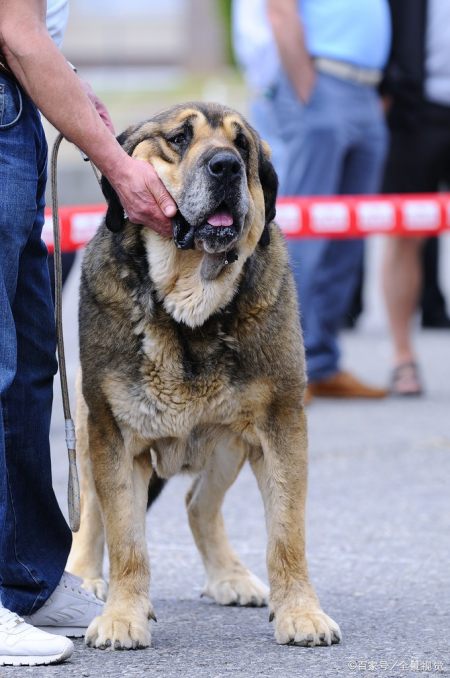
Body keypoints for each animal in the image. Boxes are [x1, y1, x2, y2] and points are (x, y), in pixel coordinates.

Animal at [67, 102, 342, 652]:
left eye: (242, 146)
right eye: (179, 138)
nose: (225, 167)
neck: (188, 303)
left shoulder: (280, 425)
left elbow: (287, 534)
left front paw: (300, 612)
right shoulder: (114, 432)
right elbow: (126, 537)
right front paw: (123, 615)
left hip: (228, 442)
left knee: (198, 503)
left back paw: (228, 577)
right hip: (87, 425)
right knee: (90, 510)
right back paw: (83, 577)